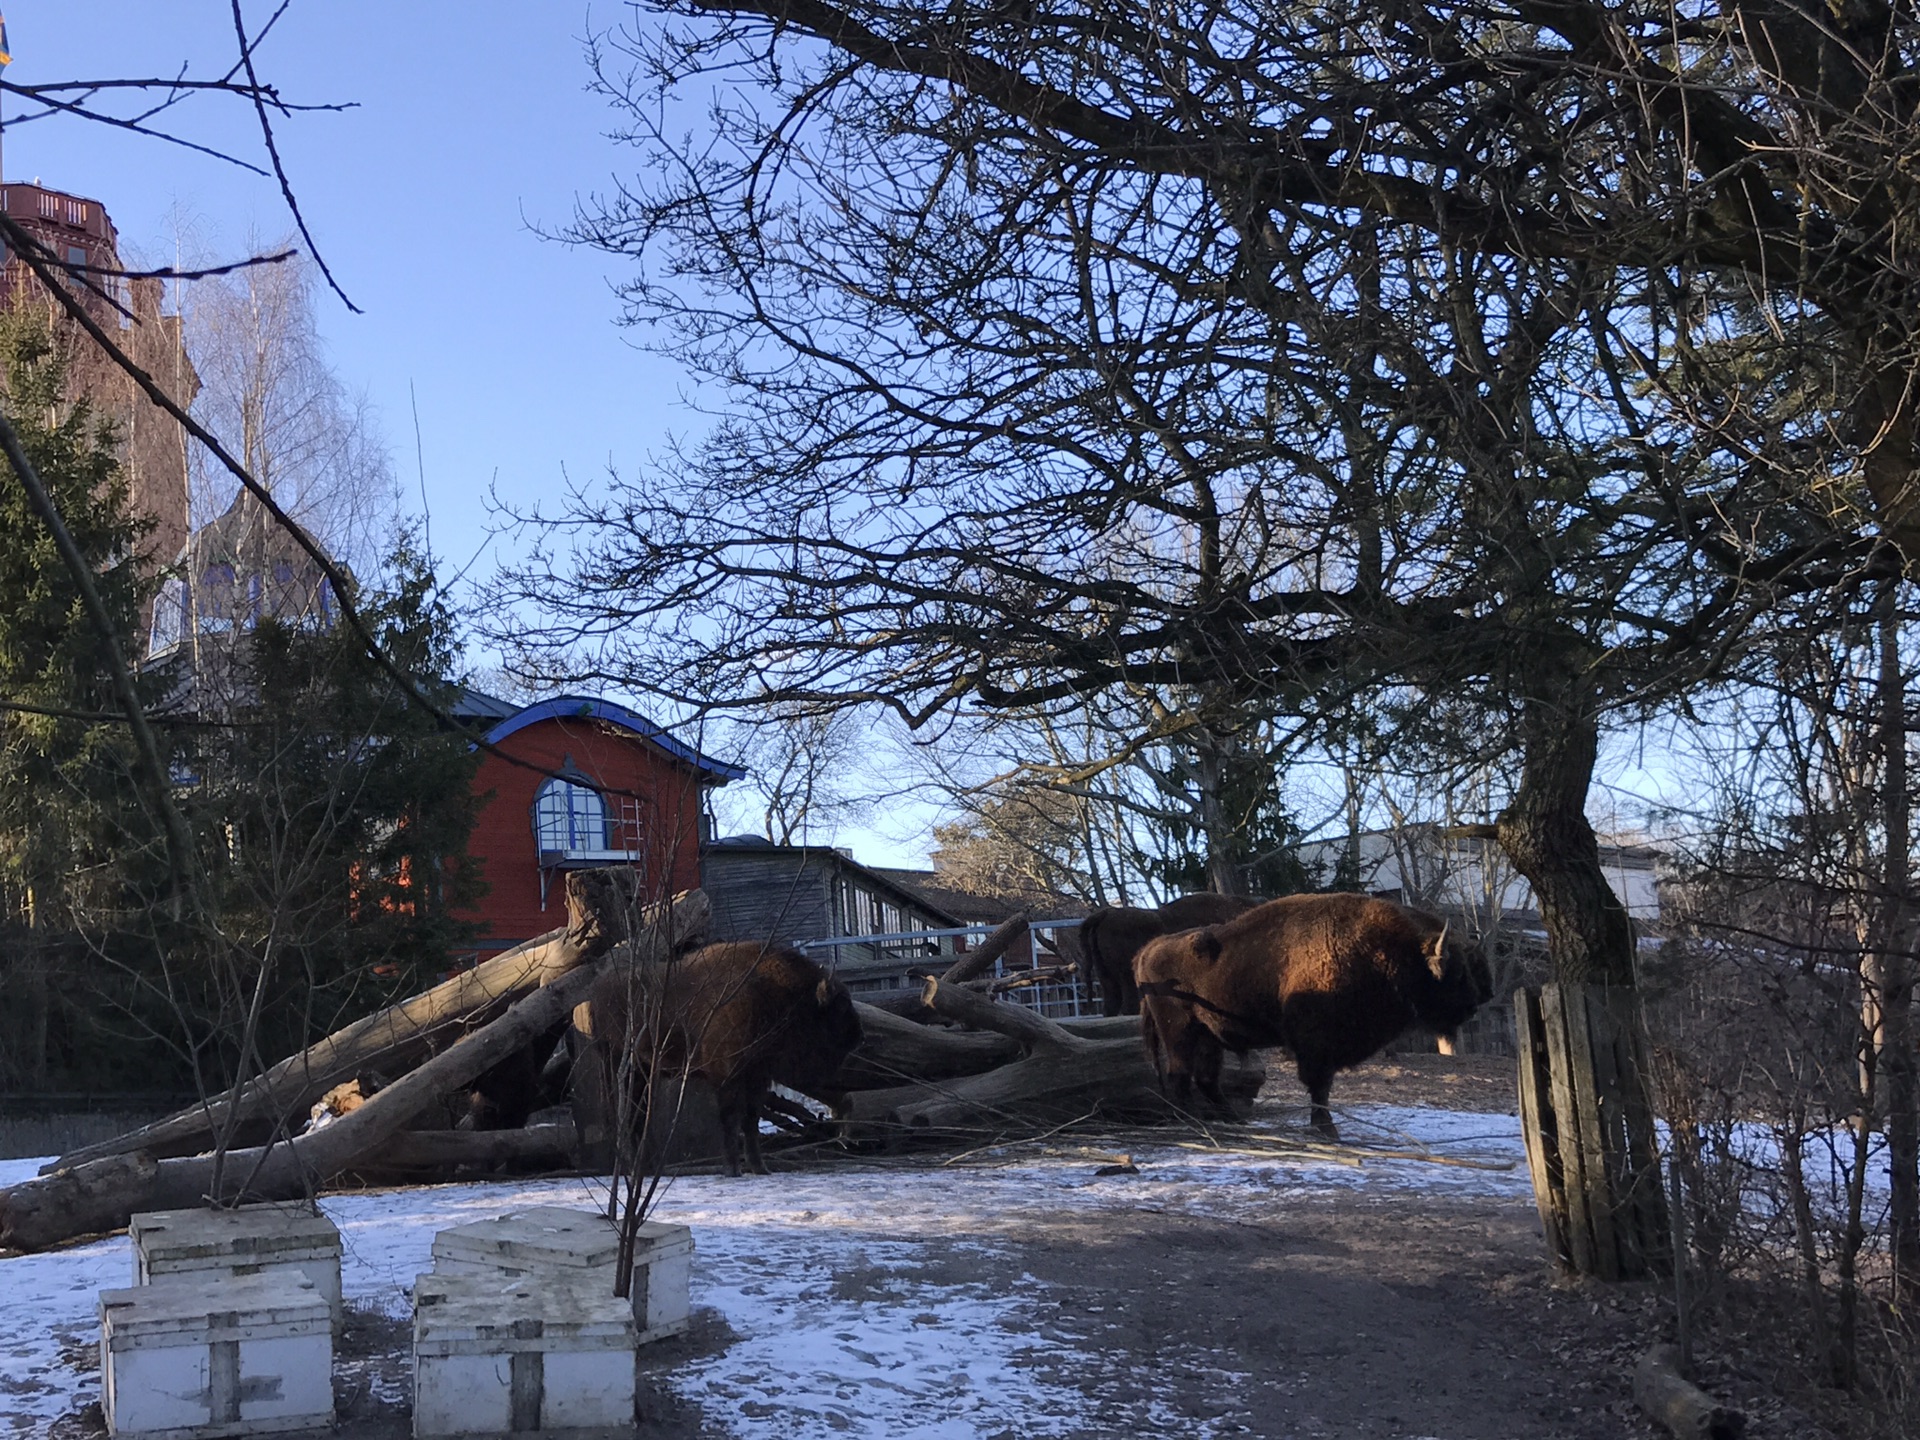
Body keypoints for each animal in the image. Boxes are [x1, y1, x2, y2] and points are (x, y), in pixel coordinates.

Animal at [579, 940, 860, 1175]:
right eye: (840, 1008)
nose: (857, 1037)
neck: (772, 993)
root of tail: (596, 995)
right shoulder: (727, 1076)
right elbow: (730, 1119)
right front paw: (733, 1169)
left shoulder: (757, 1078)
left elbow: (750, 1120)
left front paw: (760, 1168)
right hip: (620, 1067)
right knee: (622, 1115)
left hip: (644, 1073)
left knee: (637, 1117)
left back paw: (646, 1167)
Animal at [1128, 890, 1489, 1136]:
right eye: (1457, 972)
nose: (1474, 1004)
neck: (1388, 952)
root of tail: (1149, 949)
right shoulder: (1316, 1045)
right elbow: (1319, 1086)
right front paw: (1326, 1128)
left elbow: (1322, 1086)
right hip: (1179, 1032)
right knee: (1180, 1075)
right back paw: (1191, 1121)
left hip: (1208, 1036)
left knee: (1205, 1078)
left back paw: (1233, 1119)